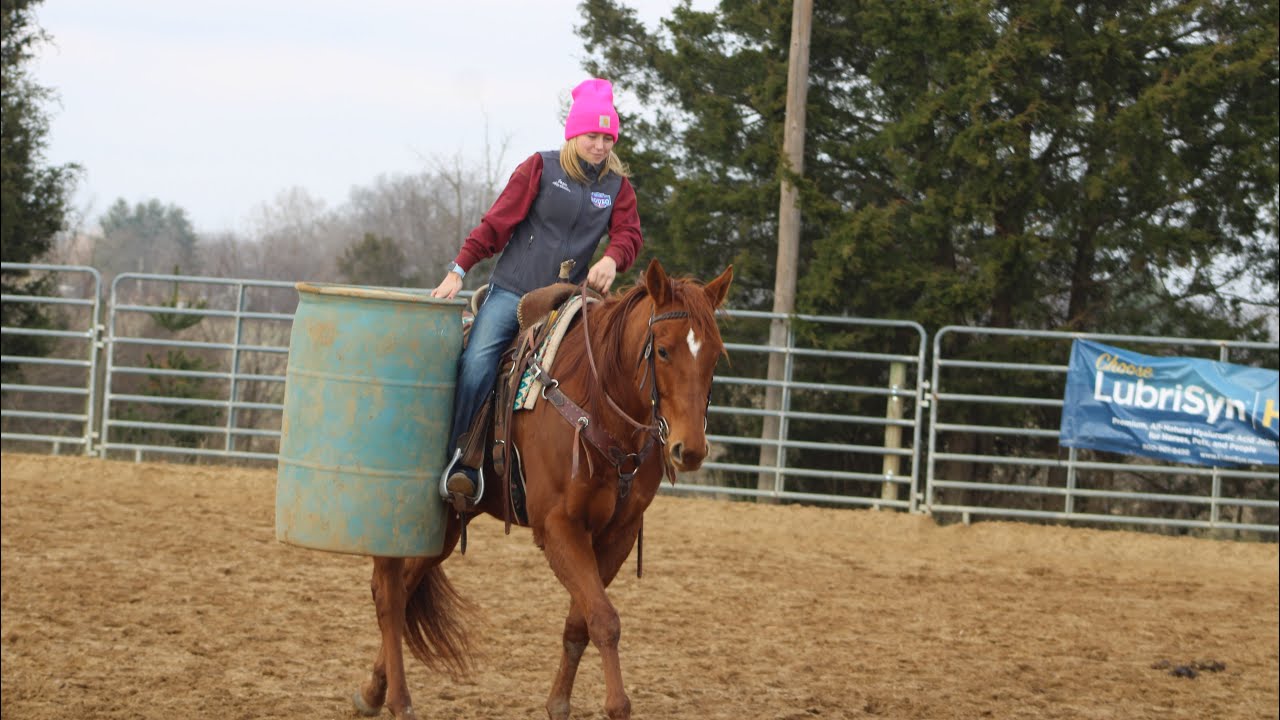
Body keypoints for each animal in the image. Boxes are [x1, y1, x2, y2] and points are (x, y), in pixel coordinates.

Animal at [352, 259, 733, 720]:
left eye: (715, 355)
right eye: (662, 350)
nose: (689, 449)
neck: (598, 403)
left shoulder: (618, 536)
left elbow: (581, 622)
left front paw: (559, 703)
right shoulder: (558, 527)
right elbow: (604, 619)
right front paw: (617, 705)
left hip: (442, 526)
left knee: (404, 589)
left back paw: (374, 692)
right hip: (396, 515)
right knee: (388, 595)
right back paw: (399, 700)